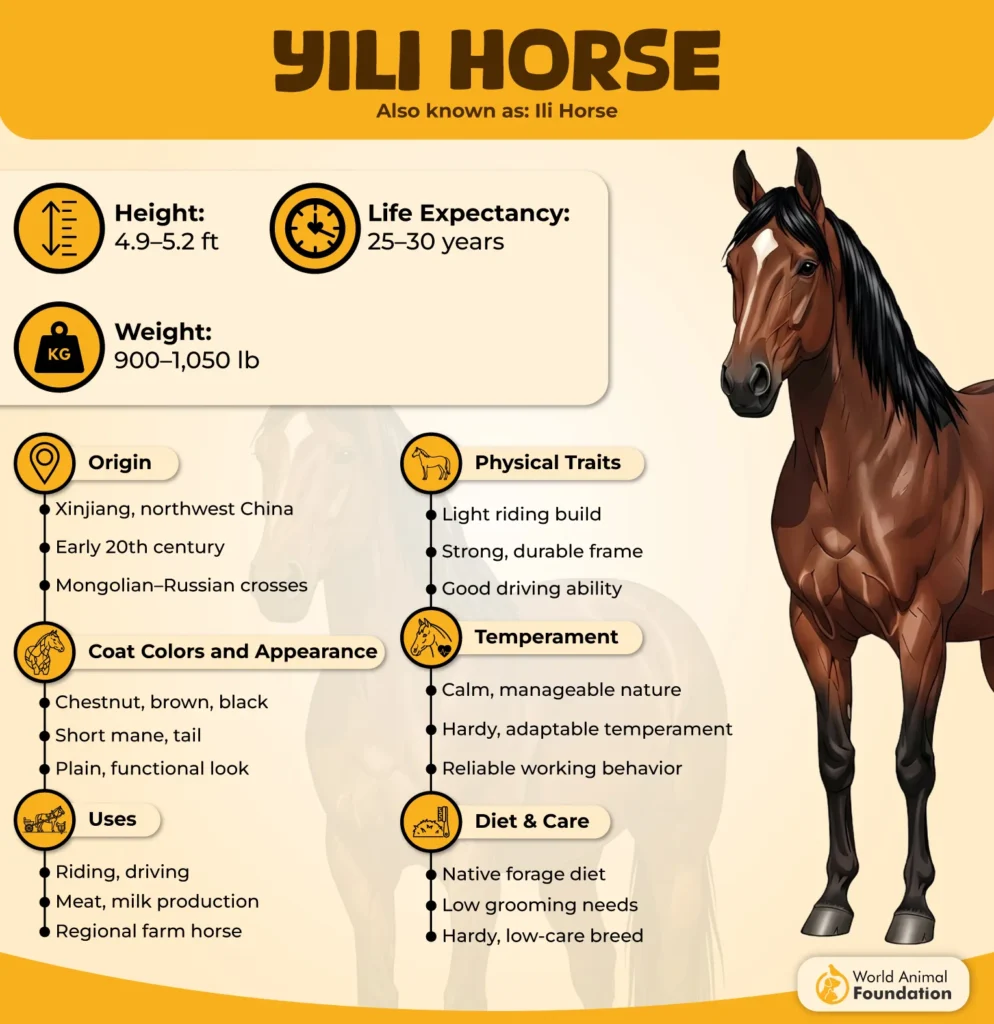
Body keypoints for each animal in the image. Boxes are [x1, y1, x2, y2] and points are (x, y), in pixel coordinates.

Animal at [720, 147, 994, 945]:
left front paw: (913, 908)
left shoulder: (921, 632)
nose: (743, 383)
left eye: (807, 264)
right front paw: (833, 898)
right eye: (733, 264)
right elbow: (835, 758)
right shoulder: (816, 629)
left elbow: (912, 761)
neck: (862, 470)